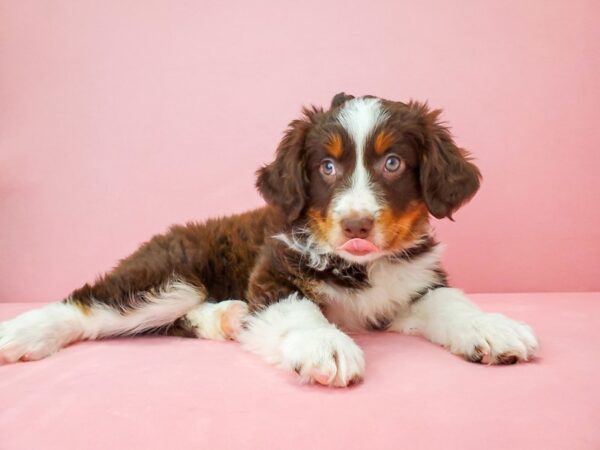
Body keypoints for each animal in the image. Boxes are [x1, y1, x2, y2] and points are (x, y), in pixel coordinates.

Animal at [0, 93, 540, 384]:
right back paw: (21, 336)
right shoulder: (274, 272)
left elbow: (450, 302)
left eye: (393, 163)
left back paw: (227, 318)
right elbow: (299, 310)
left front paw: (492, 328)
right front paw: (327, 346)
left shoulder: (414, 283)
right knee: (87, 305)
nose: (357, 225)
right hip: (170, 274)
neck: (363, 266)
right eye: (326, 167)